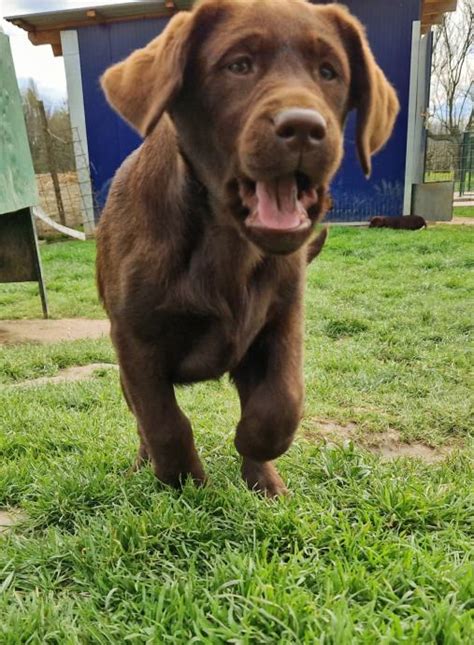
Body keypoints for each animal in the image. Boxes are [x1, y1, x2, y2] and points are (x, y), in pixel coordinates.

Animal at [96, 0, 400, 496]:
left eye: (329, 72)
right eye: (238, 66)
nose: (304, 128)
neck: (225, 243)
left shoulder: (280, 321)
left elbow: (281, 403)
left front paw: (253, 450)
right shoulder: (134, 339)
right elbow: (163, 421)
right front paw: (185, 482)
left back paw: (266, 483)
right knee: (142, 422)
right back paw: (143, 467)